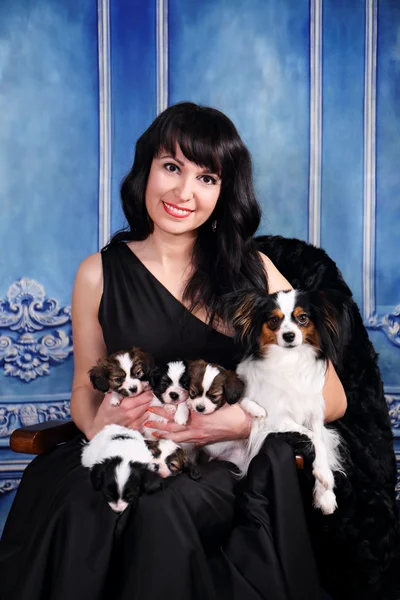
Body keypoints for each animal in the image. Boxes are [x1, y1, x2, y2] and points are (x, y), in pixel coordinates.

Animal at [223, 288, 346, 512]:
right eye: (274, 320)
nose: (289, 336)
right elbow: (313, 438)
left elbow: (321, 440)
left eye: (303, 318)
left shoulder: (314, 415)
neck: (290, 359)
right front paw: (324, 475)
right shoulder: (277, 418)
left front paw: (325, 494)